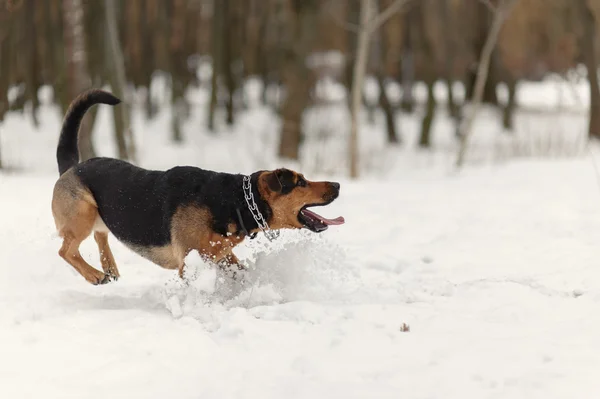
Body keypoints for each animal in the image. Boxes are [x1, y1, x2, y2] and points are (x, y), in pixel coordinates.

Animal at [51, 89, 344, 286]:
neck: (234, 201)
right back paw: (94, 274)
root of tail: (71, 168)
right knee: (66, 250)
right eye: (301, 182)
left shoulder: (222, 255)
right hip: (82, 212)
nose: (338, 184)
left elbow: (240, 271)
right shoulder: (189, 262)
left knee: (100, 236)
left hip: (97, 215)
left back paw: (109, 268)